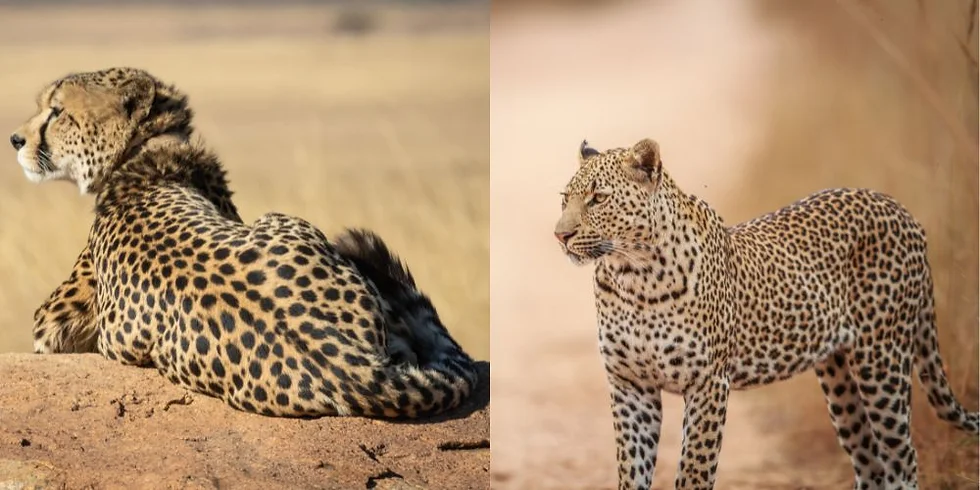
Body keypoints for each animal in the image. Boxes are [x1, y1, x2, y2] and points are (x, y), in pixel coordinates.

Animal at [553, 137, 979, 490]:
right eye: (564, 198)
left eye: (598, 198)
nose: (561, 235)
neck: (633, 277)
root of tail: (904, 211)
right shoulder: (630, 385)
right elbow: (632, 470)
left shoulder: (708, 384)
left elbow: (694, 471)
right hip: (839, 378)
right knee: (871, 465)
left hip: (882, 362)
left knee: (902, 459)